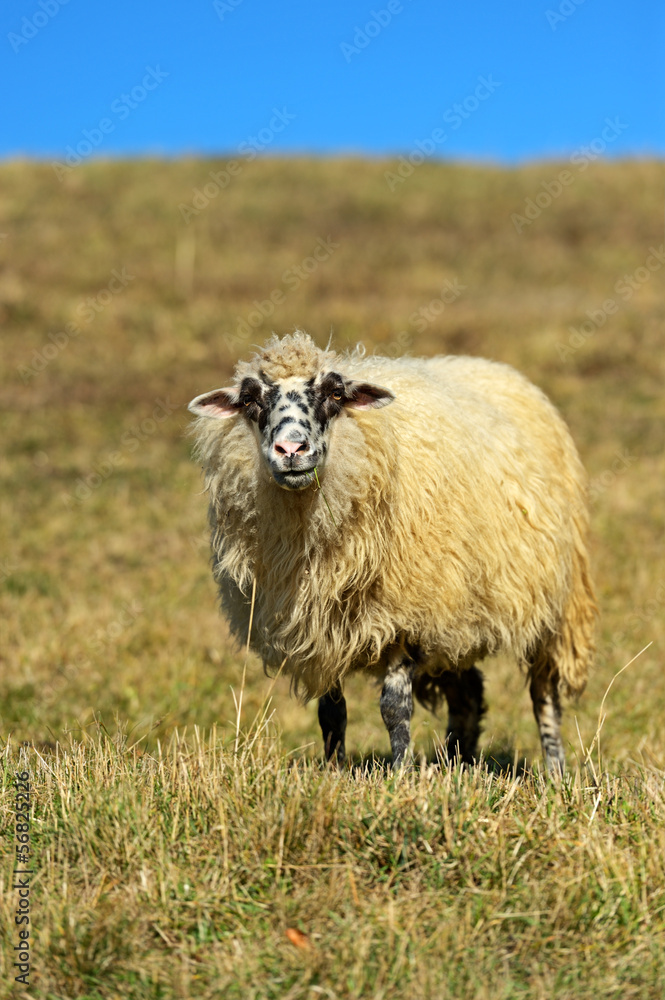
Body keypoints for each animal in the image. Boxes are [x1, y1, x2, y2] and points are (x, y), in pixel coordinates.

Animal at [188, 331, 596, 772]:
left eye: (335, 393)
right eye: (249, 399)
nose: (291, 450)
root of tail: (494, 367)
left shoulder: (405, 614)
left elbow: (394, 707)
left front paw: (399, 773)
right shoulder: (321, 625)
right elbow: (332, 713)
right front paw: (334, 770)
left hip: (553, 604)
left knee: (544, 693)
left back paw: (554, 771)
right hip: (459, 613)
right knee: (468, 692)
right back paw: (458, 762)